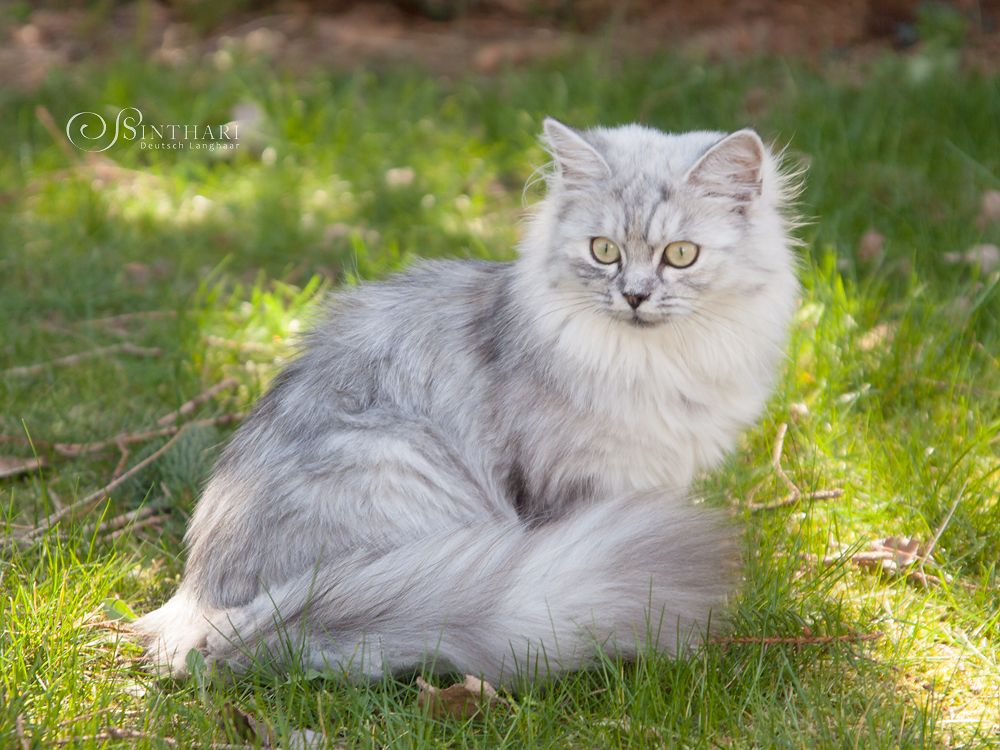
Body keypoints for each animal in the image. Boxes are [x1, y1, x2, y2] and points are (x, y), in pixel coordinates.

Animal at [139, 116, 796, 688]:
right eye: (604, 251)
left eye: (680, 255)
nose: (634, 296)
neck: (654, 362)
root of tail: (207, 615)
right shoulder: (586, 482)